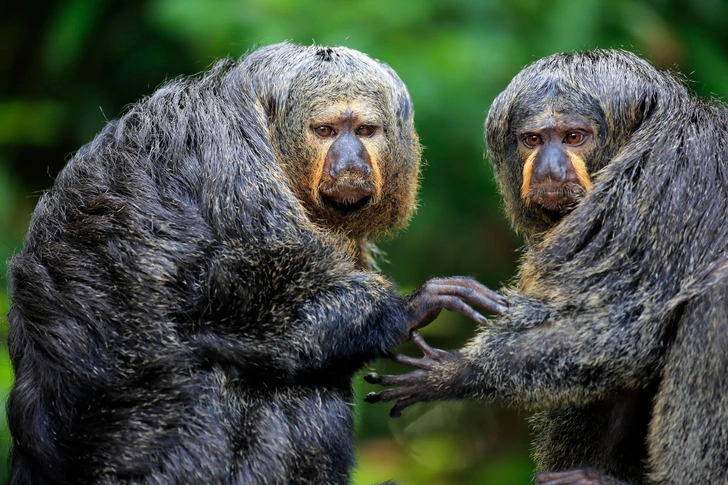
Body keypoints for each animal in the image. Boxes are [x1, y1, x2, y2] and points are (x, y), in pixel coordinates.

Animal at [7, 42, 506, 484]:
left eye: (365, 131)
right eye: (326, 131)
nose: (350, 161)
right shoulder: (228, 163)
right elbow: (239, 296)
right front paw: (408, 309)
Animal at [366, 50, 728, 484]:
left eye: (573, 137)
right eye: (533, 140)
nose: (551, 168)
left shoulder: (668, 181)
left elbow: (626, 325)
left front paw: (457, 372)